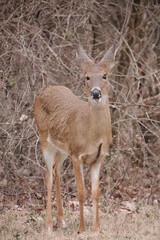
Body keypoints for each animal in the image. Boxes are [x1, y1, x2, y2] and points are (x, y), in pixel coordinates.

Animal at [33, 44, 116, 233]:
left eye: (105, 75)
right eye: (87, 77)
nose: (95, 93)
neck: (91, 135)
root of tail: (43, 91)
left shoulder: (99, 157)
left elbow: (95, 192)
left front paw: (96, 228)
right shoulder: (77, 154)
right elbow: (81, 192)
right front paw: (82, 228)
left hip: (63, 149)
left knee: (56, 170)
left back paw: (61, 221)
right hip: (44, 139)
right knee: (48, 177)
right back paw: (49, 226)